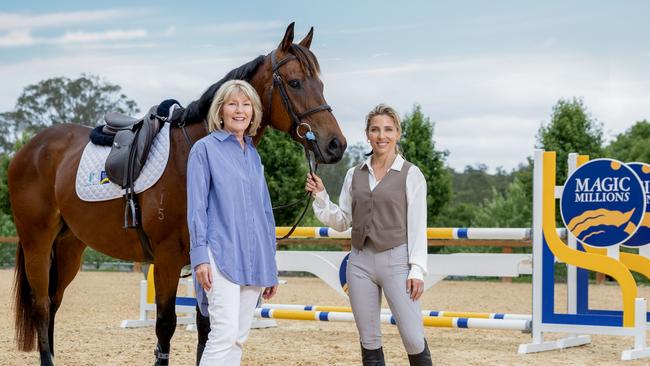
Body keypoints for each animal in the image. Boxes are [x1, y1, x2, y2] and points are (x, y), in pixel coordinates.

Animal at [10, 23, 344, 366]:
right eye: (295, 82)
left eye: (320, 83)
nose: (336, 144)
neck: (191, 152)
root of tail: (30, 148)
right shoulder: (168, 258)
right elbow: (165, 326)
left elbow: (205, 328)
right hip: (38, 242)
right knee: (41, 304)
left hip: (69, 247)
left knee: (54, 301)